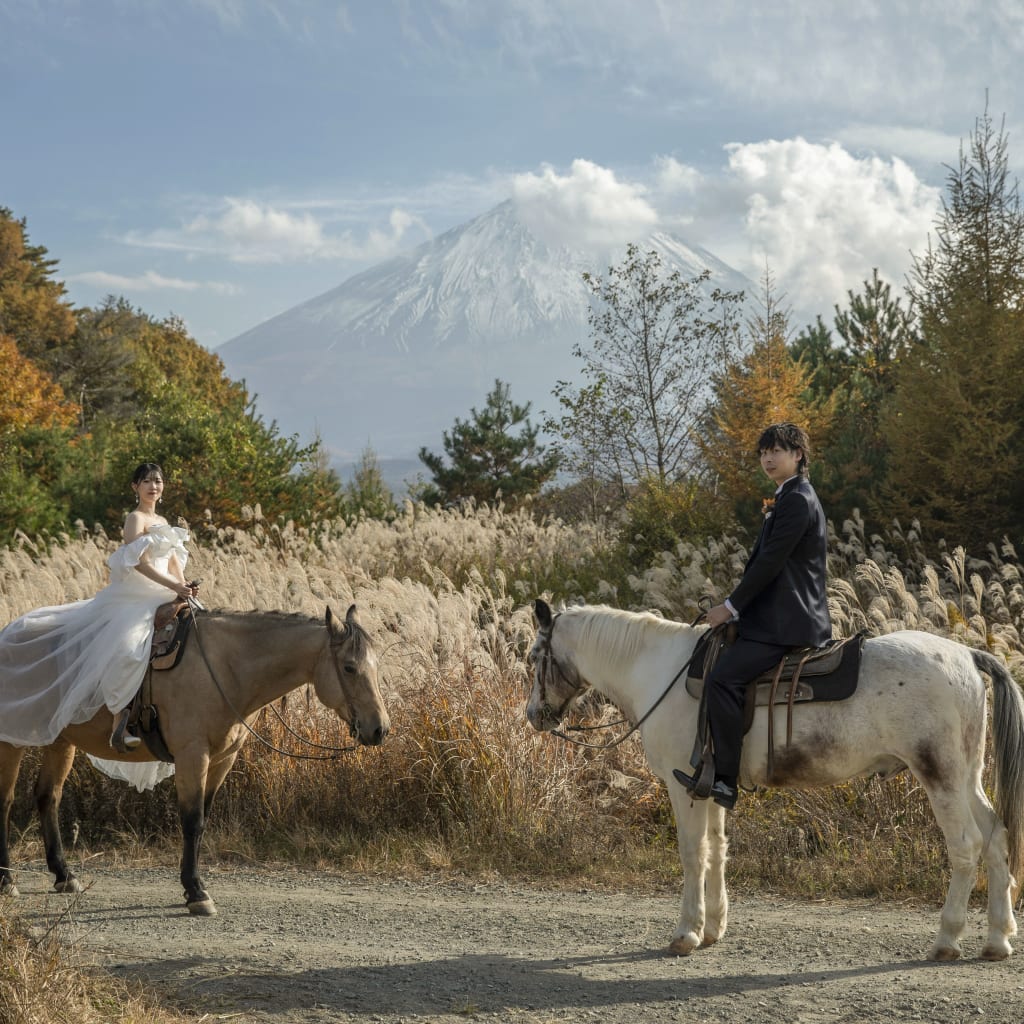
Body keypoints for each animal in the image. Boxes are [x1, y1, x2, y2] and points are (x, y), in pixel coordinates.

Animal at [0, 598, 389, 913]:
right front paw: (197, 893)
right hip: (11, 741)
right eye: (349, 667)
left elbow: (204, 817)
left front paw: (193, 887)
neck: (226, 667)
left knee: (48, 797)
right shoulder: (192, 755)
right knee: (5, 802)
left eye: (376, 665)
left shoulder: (221, 760)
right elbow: (192, 821)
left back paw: (64, 875)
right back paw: (8, 881)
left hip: (60, 739)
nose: (379, 729)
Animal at [528, 598, 1024, 958]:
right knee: (996, 837)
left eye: (535, 656)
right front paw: (715, 927)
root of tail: (966, 654)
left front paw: (687, 933)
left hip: (941, 778)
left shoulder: (681, 786)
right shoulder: (709, 783)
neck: (661, 671)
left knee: (967, 847)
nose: (534, 715)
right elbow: (717, 849)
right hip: (967, 776)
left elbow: (693, 853)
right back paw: (998, 939)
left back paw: (947, 940)